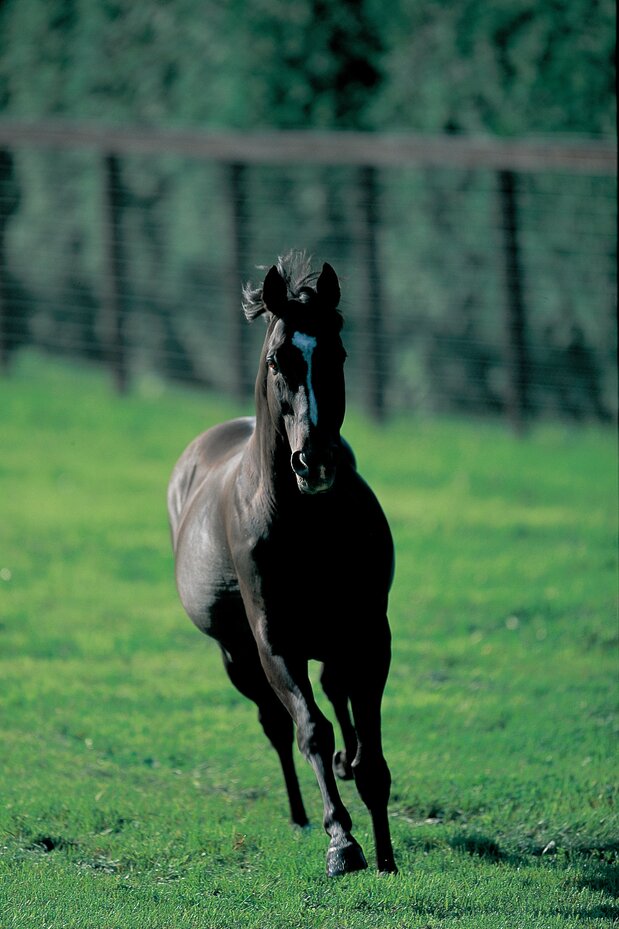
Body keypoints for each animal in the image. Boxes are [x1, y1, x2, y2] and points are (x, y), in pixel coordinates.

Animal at [167, 252, 396, 876]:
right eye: (278, 359)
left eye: (337, 353)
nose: (313, 462)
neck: (305, 524)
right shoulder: (275, 640)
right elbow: (309, 728)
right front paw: (342, 842)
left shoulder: (370, 632)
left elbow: (370, 747)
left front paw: (387, 855)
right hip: (237, 655)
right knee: (277, 722)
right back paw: (299, 815)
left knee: (336, 690)